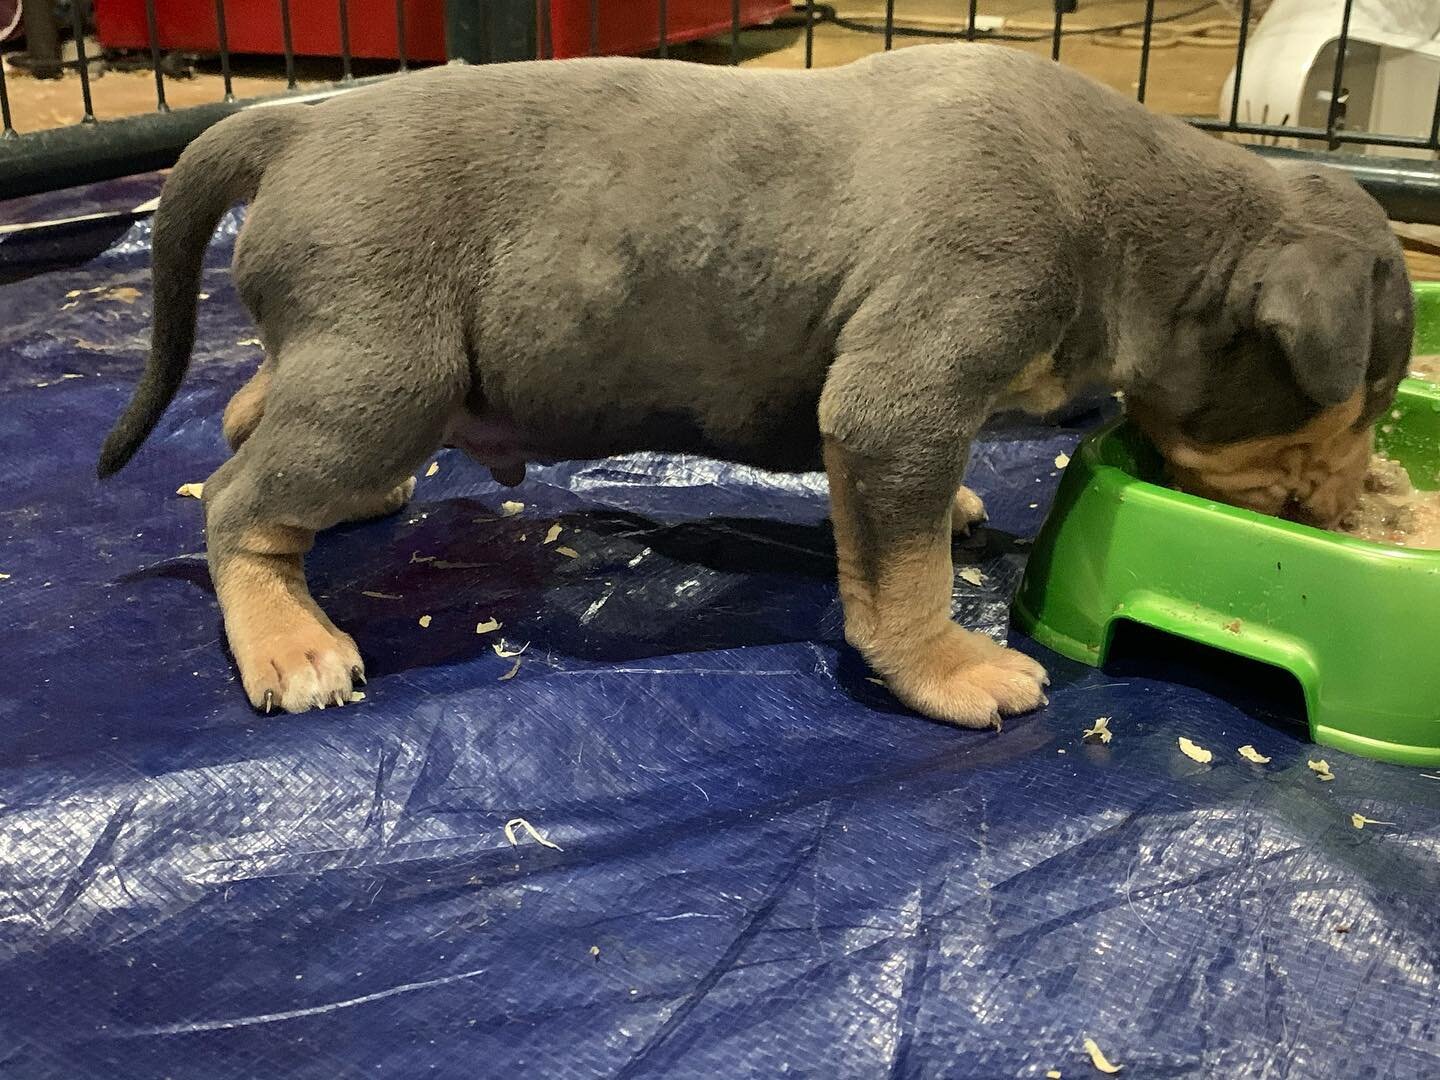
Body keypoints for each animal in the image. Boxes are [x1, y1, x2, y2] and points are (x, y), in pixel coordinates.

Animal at [95, 48, 1411, 728]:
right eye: (1354, 408)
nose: (1350, 510)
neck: (1138, 224)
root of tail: (295, 127)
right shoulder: (903, 391)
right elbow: (904, 575)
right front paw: (950, 668)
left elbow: (905, 521)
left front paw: (958, 516)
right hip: (386, 368)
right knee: (237, 499)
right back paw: (289, 642)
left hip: (350, 365)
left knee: (252, 417)